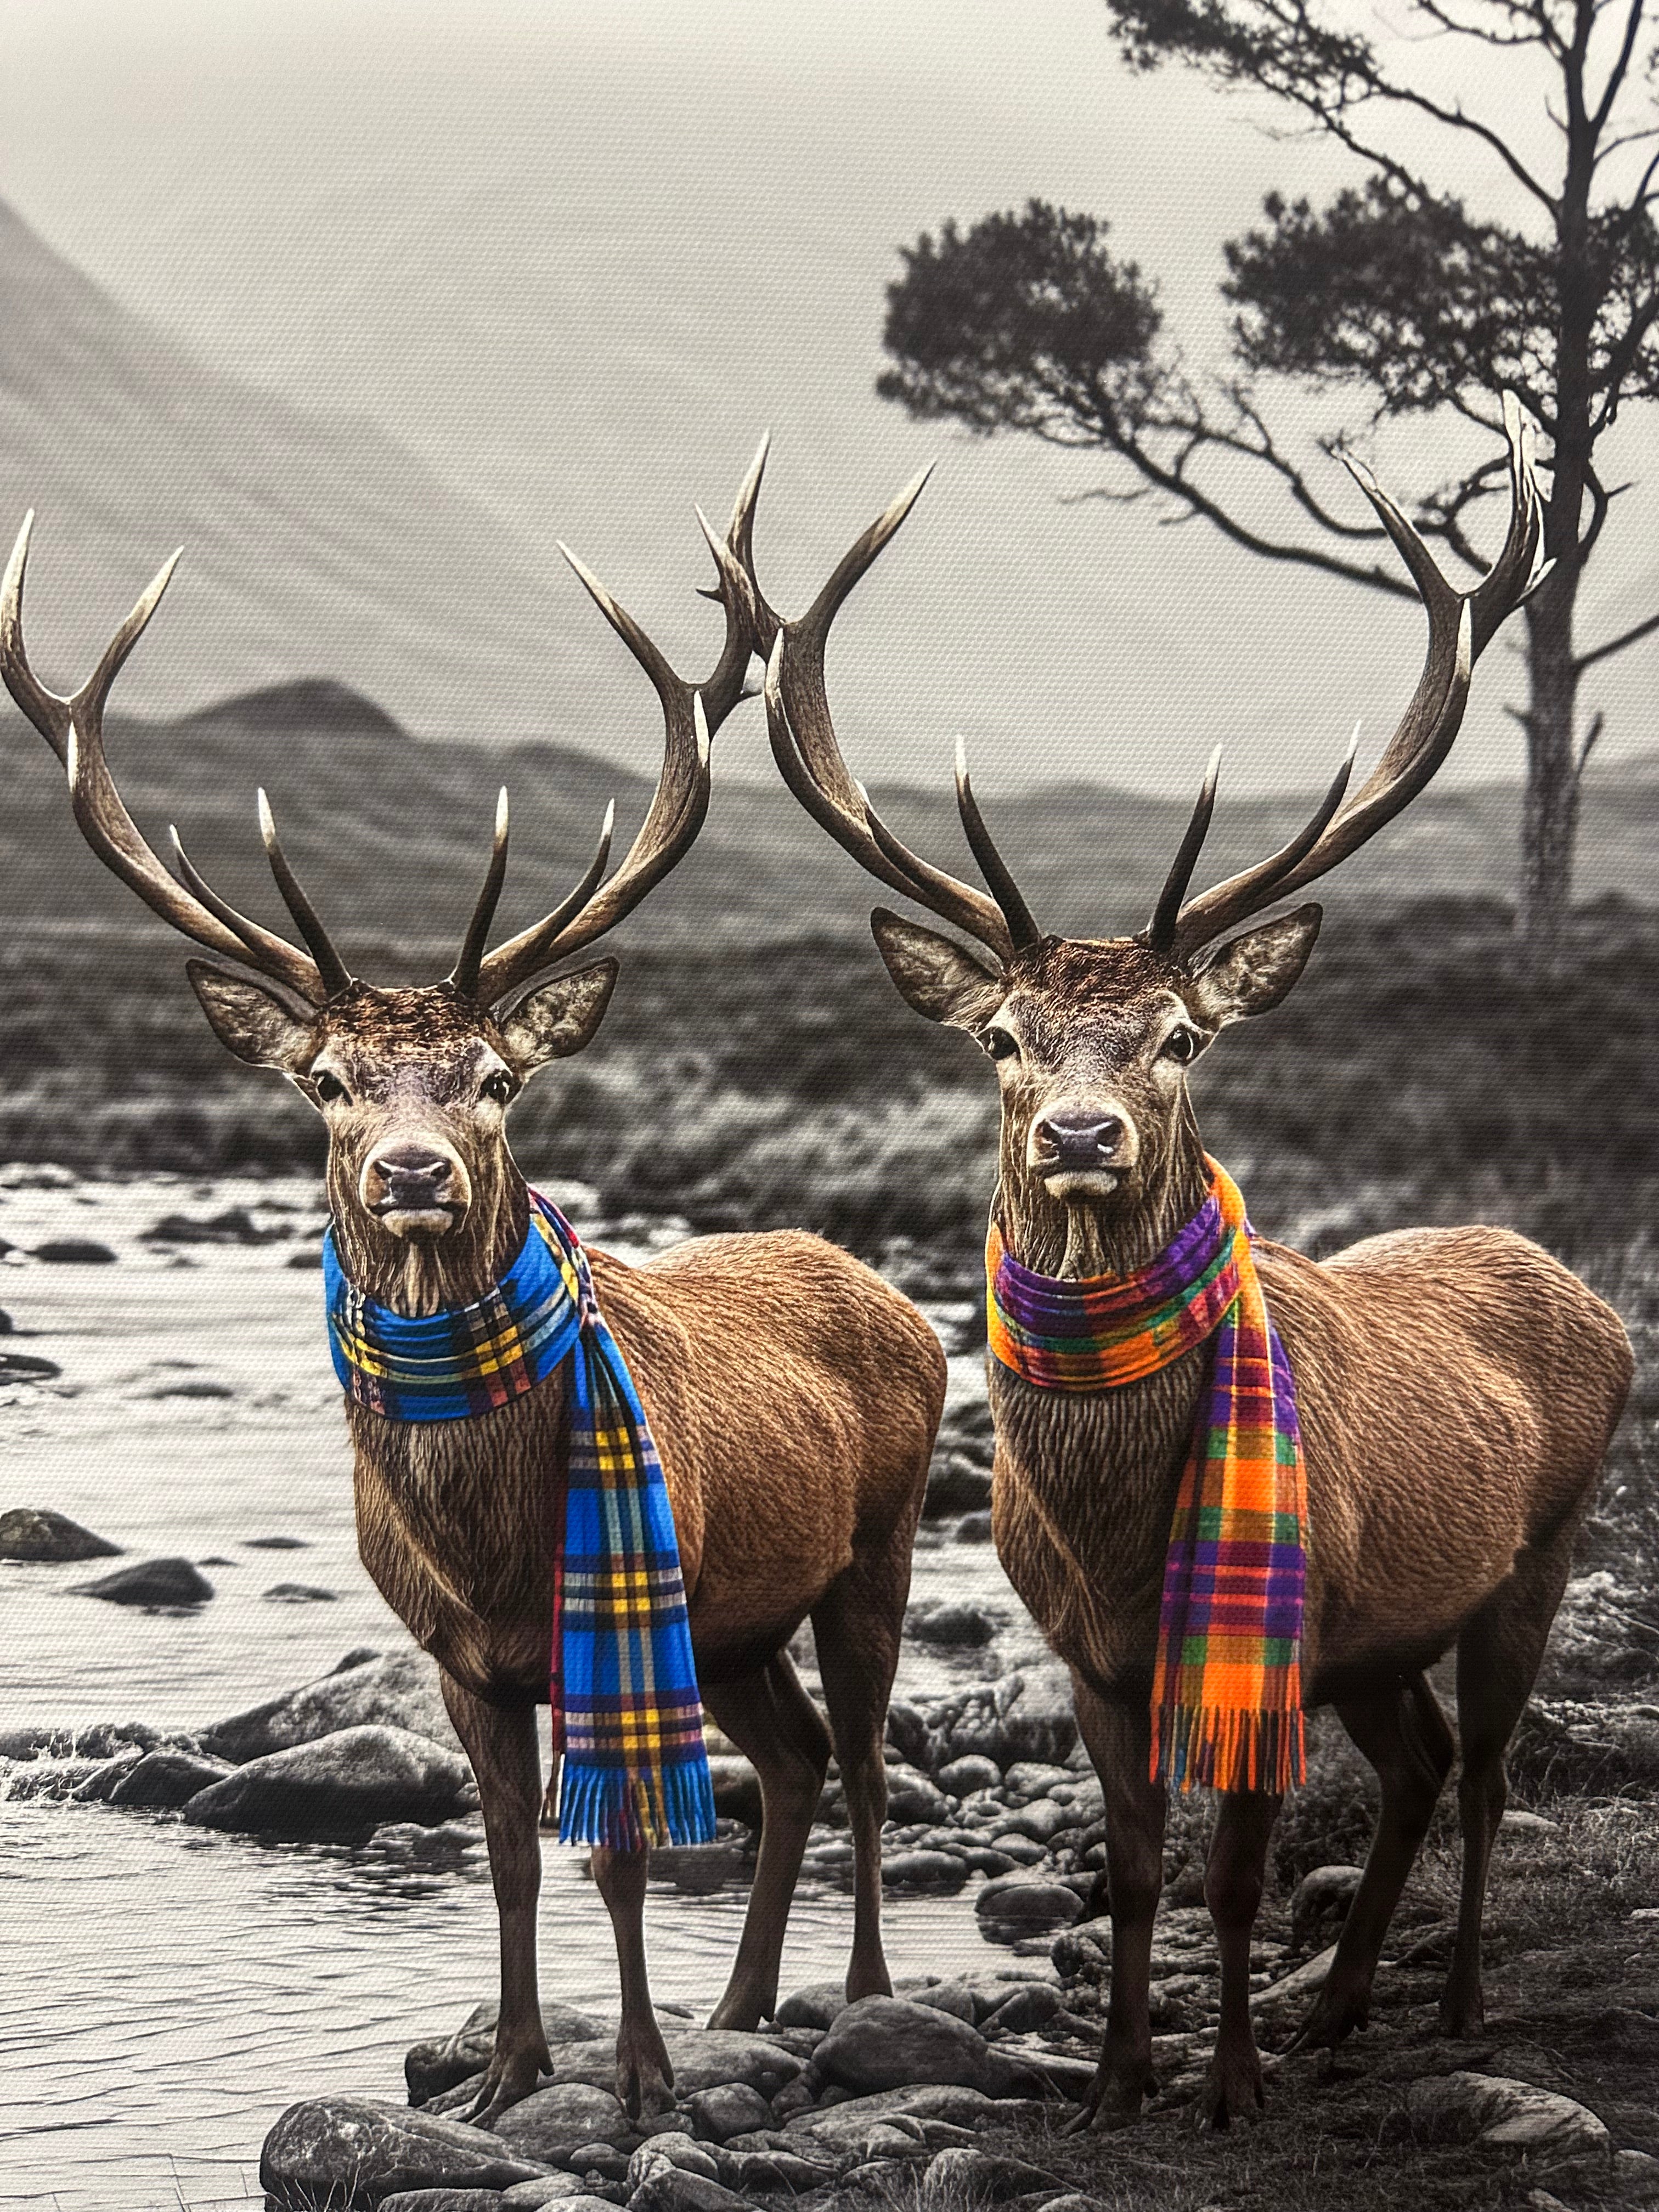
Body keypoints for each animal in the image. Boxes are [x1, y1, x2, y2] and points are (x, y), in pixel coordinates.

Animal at [0, 446, 946, 2125]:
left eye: (497, 1079)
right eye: (325, 1082)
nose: (413, 1171)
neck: (486, 1536)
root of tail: (894, 1297)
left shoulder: (606, 1624)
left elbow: (619, 1852)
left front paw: (635, 2075)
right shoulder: (460, 1660)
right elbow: (508, 1857)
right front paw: (509, 2069)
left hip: (870, 1549)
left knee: (864, 1757)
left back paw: (859, 1998)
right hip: (736, 1619)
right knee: (790, 1761)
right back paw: (744, 2001)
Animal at [728, 400, 1634, 2131]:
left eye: (1179, 1038)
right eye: (1004, 1038)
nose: (1081, 1135)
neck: (1119, 1533)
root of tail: (1601, 1302)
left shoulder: (1267, 1642)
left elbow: (1230, 1873)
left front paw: (1226, 2089)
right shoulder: (1094, 1656)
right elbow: (1142, 1871)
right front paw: (1115, 2080)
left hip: (1533, 1557)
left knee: (1490, 1773)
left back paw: (1457, 2003)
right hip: (1379, 1632)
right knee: (1420, 1763)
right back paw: (1339, 2005)